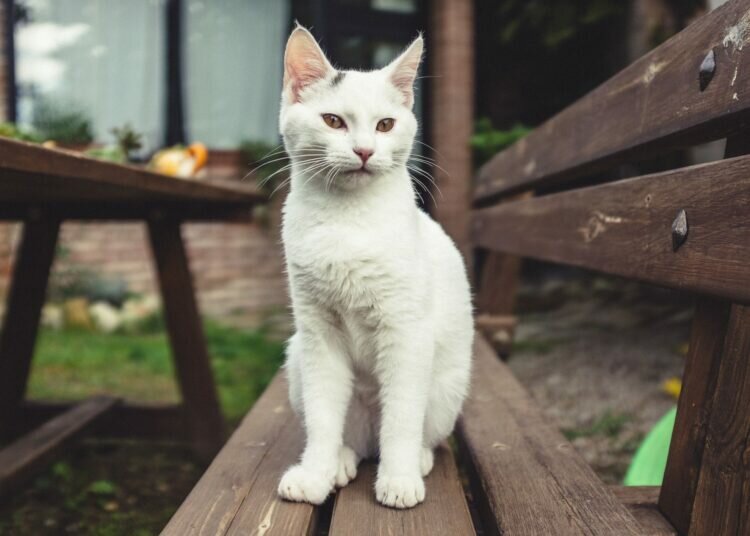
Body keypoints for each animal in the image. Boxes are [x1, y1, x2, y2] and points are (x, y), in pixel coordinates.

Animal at [280, 26, 472, 510]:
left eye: (386, 125)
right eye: (333, 121)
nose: (365, 151)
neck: (348, 221)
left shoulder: (405, 334)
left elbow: (402, 419)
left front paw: (399, 480)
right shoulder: (319, 335)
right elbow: (323, 419)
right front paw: (315, 473)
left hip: (445, 388)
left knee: (414, 433)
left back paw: (414, 460)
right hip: (297, 360)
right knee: (347, 435)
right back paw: (342, 461)